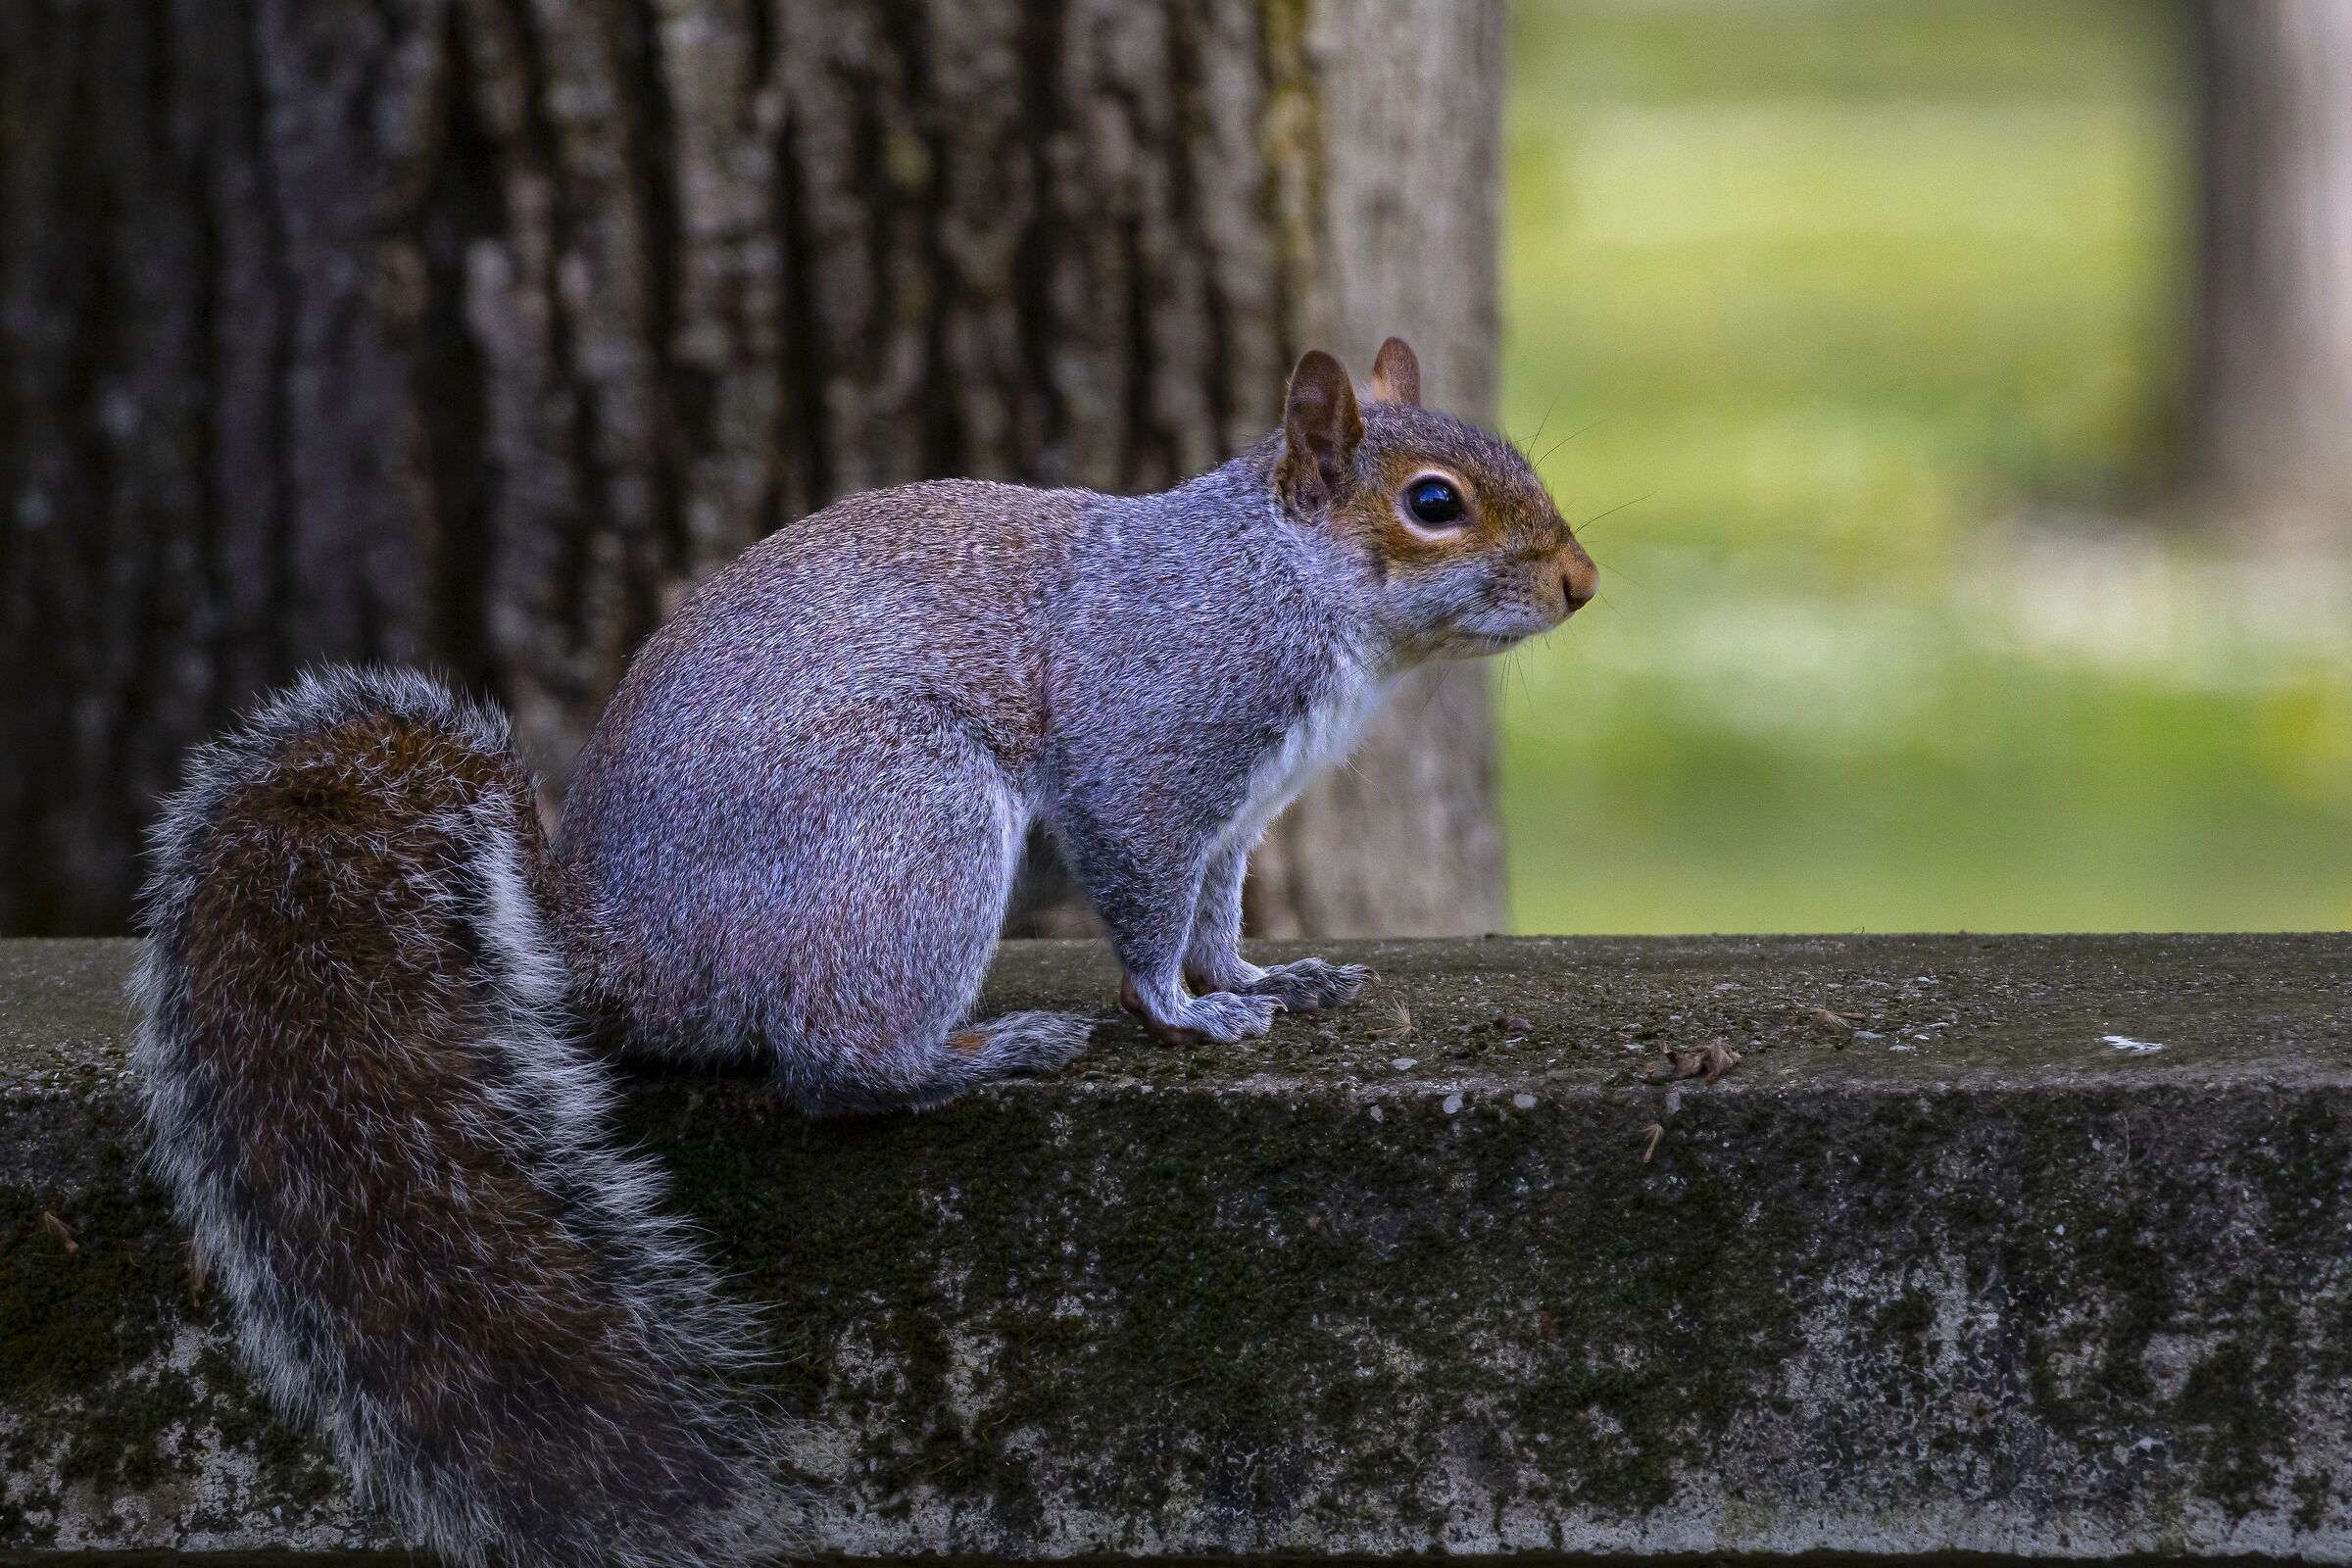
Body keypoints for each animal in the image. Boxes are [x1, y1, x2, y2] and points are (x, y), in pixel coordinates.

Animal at [131, 338, 1596, 1567]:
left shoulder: (1240, 813)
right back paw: (986, 1051)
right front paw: (1177, 1015)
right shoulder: (1152, 752)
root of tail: (597, 940)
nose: (1581, 583)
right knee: (836, 1063)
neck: (1286, 581)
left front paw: (1262, 983)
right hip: (909, 821)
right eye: (1433, 504)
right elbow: (1145, 901)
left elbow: (1218, 916)